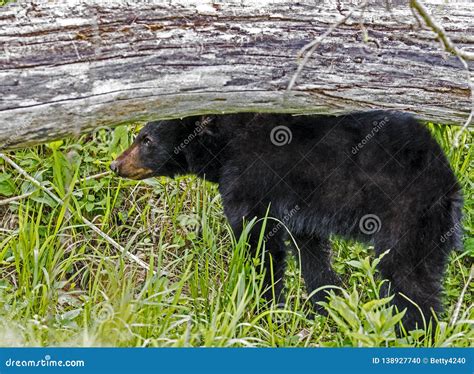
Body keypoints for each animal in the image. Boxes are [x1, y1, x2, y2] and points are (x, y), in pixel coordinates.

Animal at [111, 110, 462, 330]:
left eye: (145, 140)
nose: (115, 164)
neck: (224, 146)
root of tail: (447, 178)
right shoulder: (299, 211)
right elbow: (311, 253)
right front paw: (327, 305)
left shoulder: (251, 180)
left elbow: (260, 243)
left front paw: (262, 309)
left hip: (405, 212)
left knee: (407, 275)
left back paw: (414, 330)